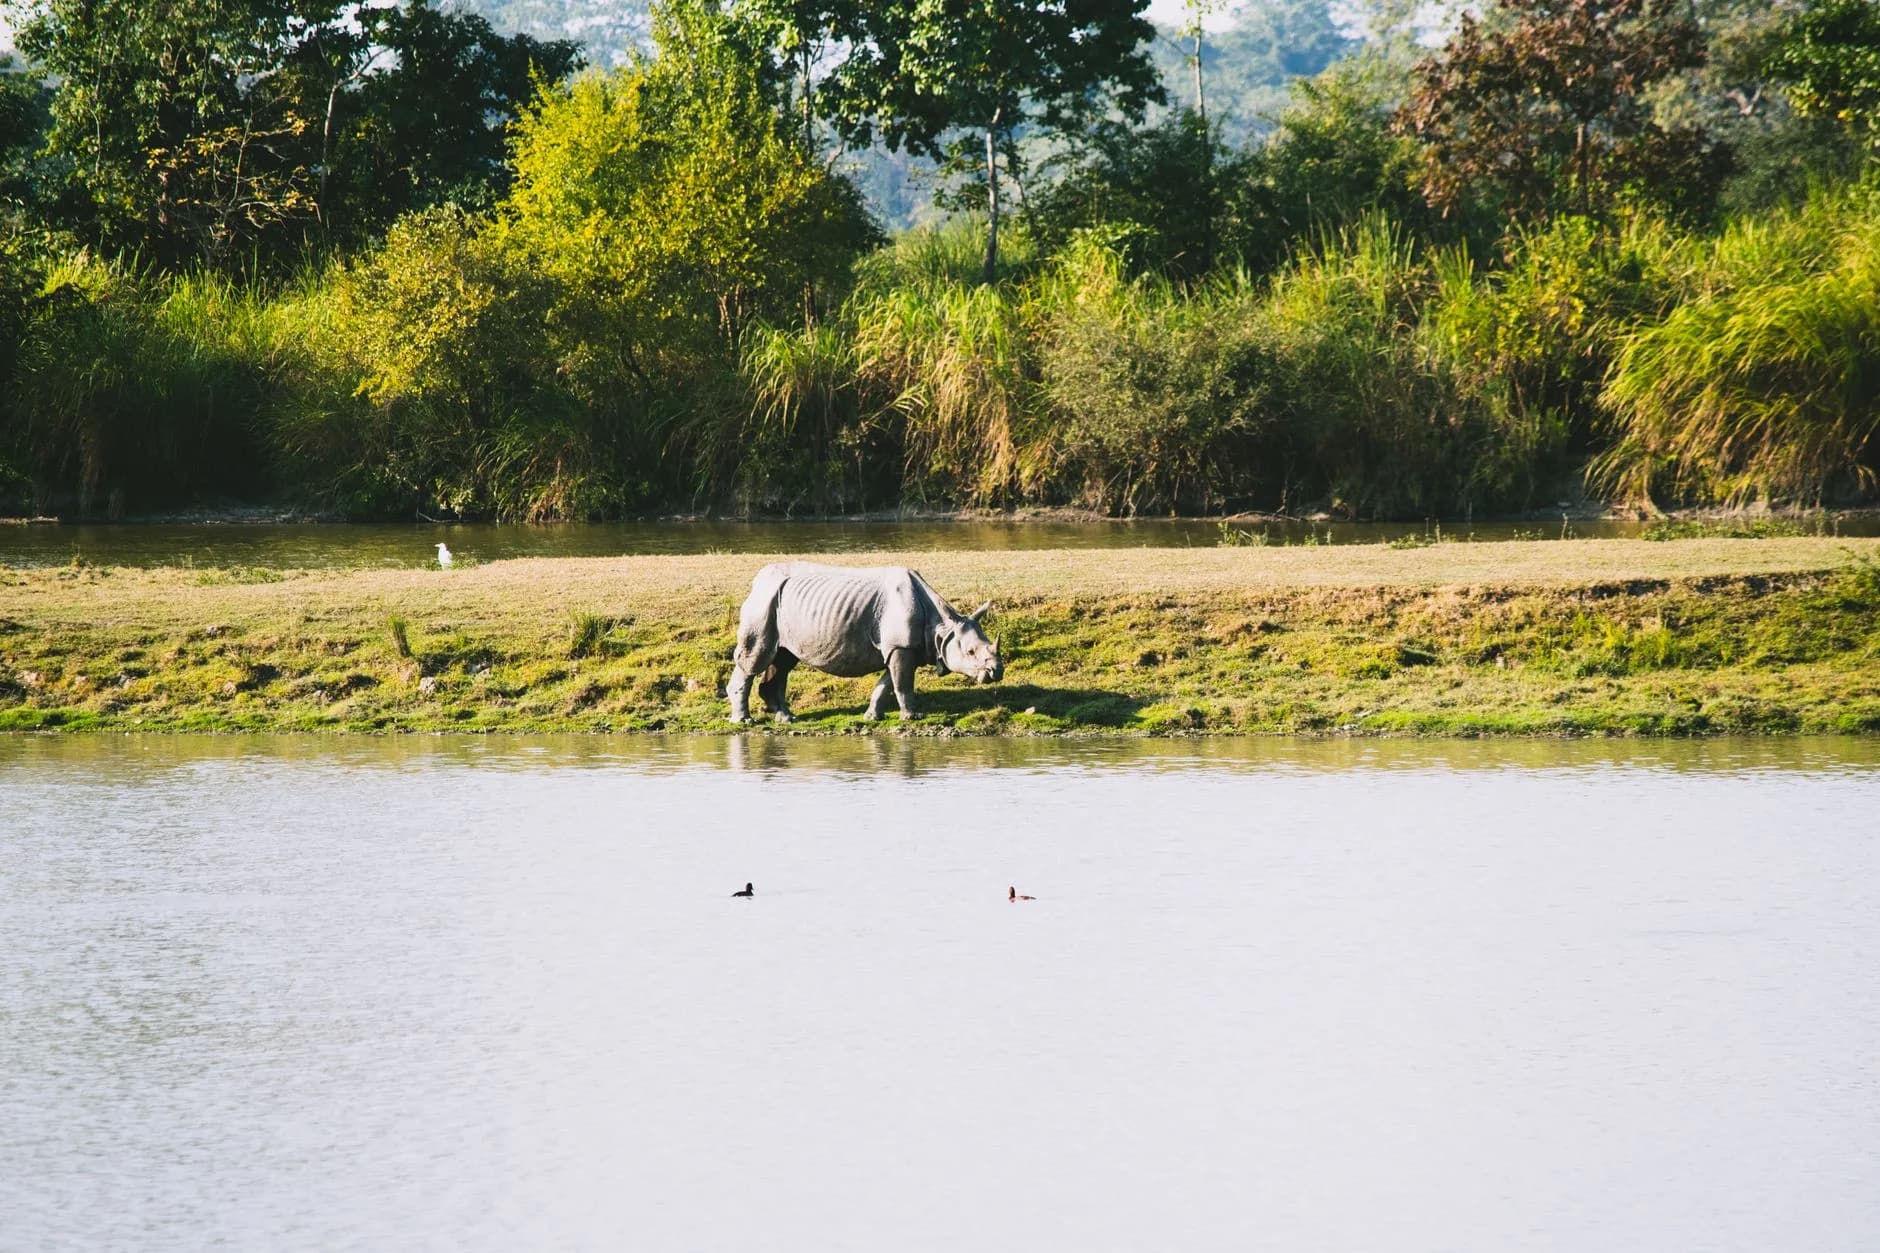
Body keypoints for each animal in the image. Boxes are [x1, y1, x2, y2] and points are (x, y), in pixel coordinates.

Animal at [726, 562, 1004, 723]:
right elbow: (903, 684)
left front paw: (872, 717)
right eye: (970, 652)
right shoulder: (901, 646)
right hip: (764, 602)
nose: (996, 671)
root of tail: (756, 581)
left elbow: (888, 683)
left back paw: (786, 718)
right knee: (758, 657)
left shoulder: (900, 648)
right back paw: (745, 721)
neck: (941, 628)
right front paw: (913, 716)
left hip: (780, 604)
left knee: (783, 658)